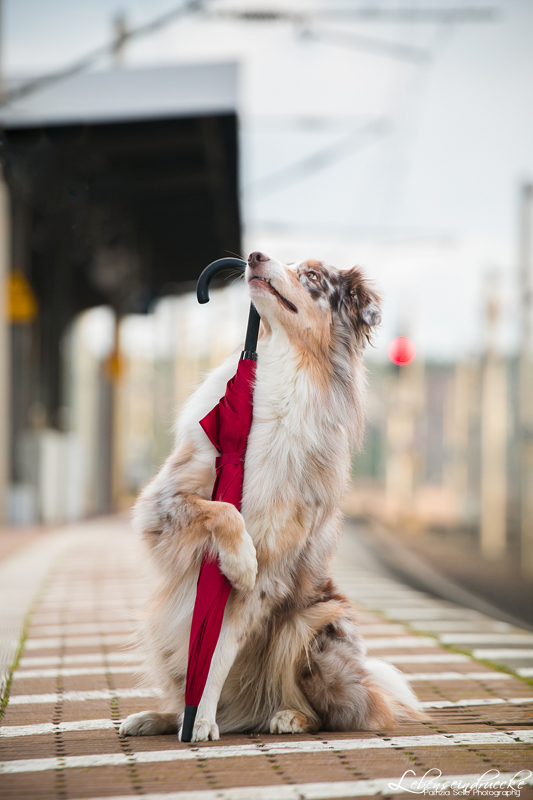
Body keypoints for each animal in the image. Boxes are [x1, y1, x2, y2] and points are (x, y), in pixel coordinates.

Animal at [119, 252, 424, 744]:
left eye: (313, 275)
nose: (255, 256)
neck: (282, 372)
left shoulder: (271, 570)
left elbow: (220, 650)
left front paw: (201, 719)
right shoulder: (161, 504)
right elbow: (223, 508)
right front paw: (238, 557)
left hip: (315, 621)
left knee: (340, 711)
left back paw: (288, 716)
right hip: (162, 625)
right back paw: (158, 717)